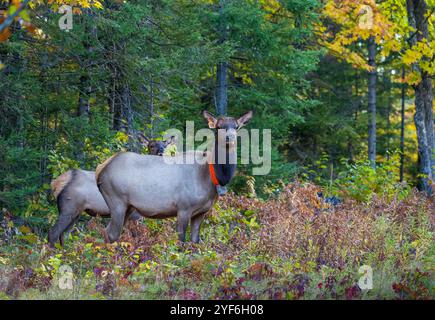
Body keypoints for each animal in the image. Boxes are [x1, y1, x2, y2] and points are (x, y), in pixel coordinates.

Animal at [95, 110, 252, 242]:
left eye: (236, 126)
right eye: (219, 127)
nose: (230, 137)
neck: (212, 178)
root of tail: (100, 170)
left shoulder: (201, 212)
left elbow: (195, 241)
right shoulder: (183, 208)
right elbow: (180, 241)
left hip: (128, 207)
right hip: (116, 200)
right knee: (111, 233)